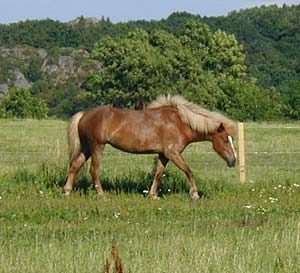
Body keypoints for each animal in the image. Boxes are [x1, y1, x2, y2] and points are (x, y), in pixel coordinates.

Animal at [63, 94, 237, 199]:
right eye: (225, 140)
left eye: (232, 139)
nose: (233, 161)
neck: (180, 123)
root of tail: (84, 114)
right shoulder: (173, 153)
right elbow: (189, 171)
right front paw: (194, 194)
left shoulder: (164, 155)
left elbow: (158, 174)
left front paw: (152, 195)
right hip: (97, 147)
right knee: (94, 170)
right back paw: (102, 195)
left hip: (87, 148)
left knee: (75, 165)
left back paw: (67, 191)